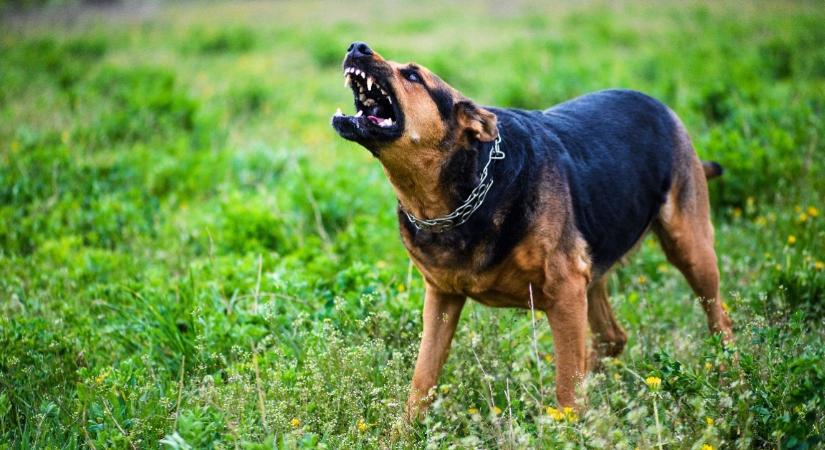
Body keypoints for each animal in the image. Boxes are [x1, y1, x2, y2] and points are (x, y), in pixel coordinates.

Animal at [328, 42, 732, 418]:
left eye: (413, 75)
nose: (357, 47)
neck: (456, 196)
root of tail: (659, 106)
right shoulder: (442, 297)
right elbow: (422, 378)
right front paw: (405, 433)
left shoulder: (565, 291)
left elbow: (566, 385)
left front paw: (568, 433)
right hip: (593, 269)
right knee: (612, 338)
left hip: (689, 248)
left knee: (719, 319)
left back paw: (730, 377)